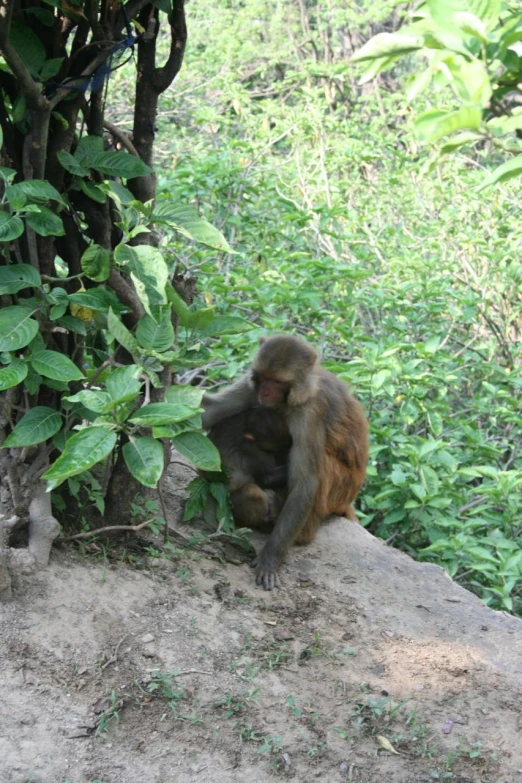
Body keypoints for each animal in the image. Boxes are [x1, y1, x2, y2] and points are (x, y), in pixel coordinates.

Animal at [201, 334, 368, 592]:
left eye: (278, 382)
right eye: (264, 378)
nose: (266, 393)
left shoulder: (310, 414)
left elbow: (305, 483)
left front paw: (271, 557)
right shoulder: (250, 387)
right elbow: (209, 411)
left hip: (344, 487)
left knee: (321, 469)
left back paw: (300, 532)